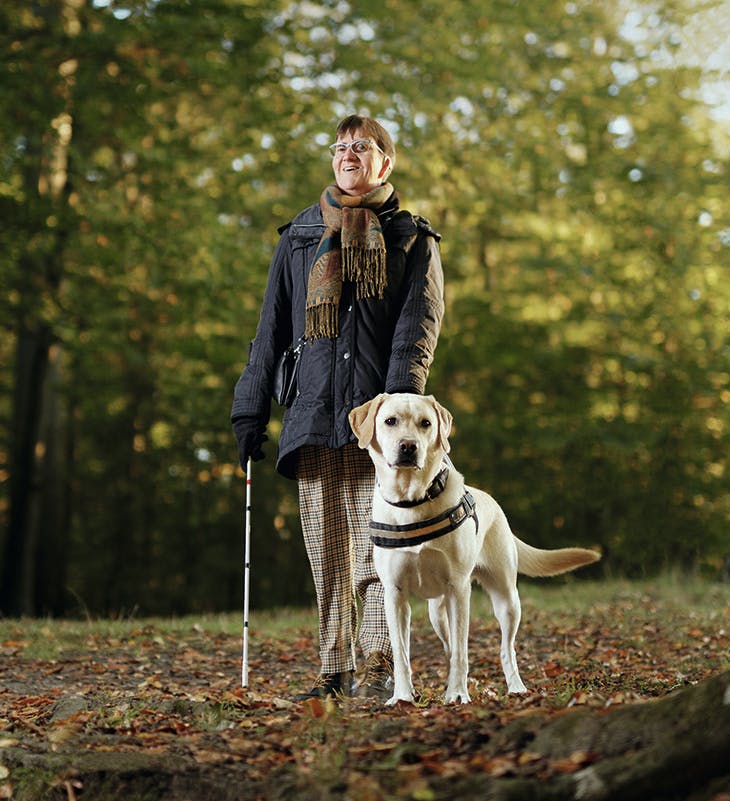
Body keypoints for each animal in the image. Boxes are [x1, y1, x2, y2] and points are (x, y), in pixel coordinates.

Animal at [346, 392, 596, 700]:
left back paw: (515, 687)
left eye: (425, 423)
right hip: (436, 613)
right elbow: (402, 654)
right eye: (390, 421)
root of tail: (494, 502)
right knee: (448, 647)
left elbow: (462, 652)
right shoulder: (394, 594)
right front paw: (403, 696)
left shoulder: (458, 588)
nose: (408, 446)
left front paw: (458, 694)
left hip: (507, 599)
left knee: (505, 649)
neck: (412, 501)